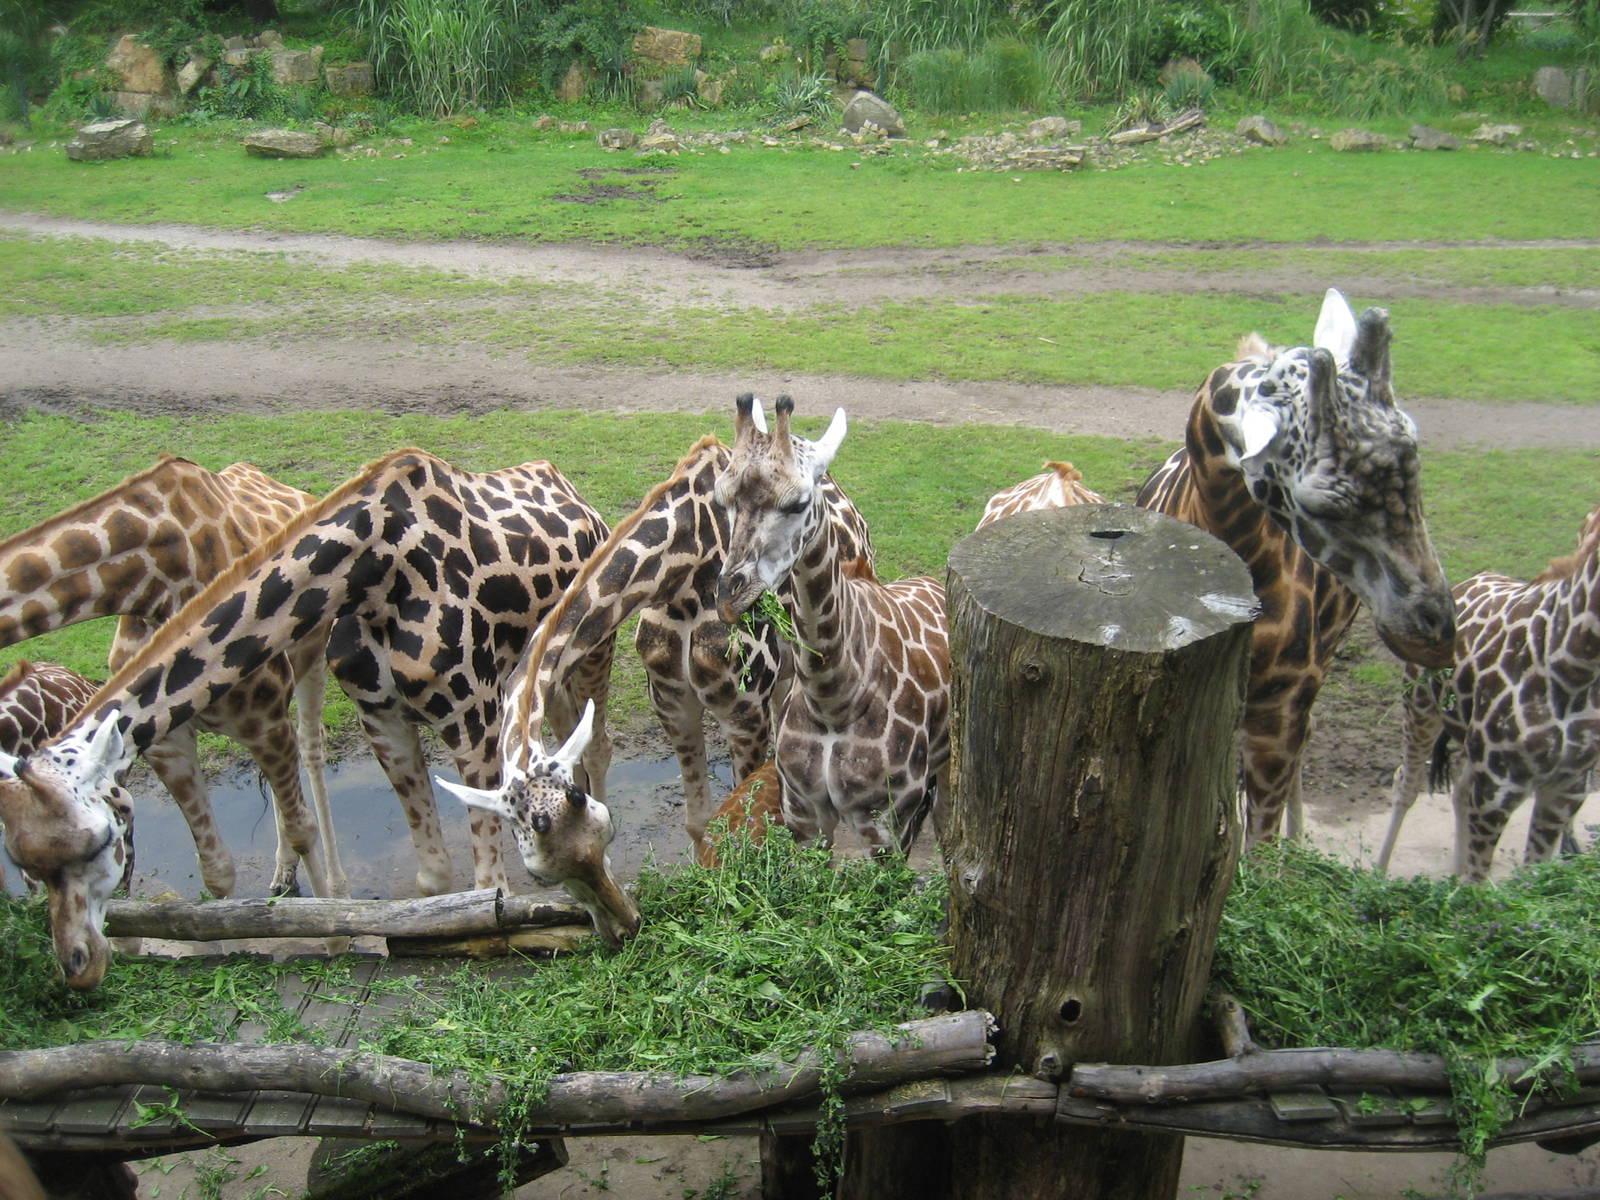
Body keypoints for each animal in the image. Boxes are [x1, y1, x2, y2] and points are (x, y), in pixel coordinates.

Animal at [0, 455, 343, 899]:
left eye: (100, 840)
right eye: (21, 861)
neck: (148, 585)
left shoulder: (265, 723)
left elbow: (304, 829)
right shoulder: (168, 744)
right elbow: (216, 870)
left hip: (311, 657)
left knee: (312, 749)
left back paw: (337, 882)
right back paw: (283, 873)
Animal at [713, 394, 950, 852]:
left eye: (798, 502)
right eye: (722, 498)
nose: (731, 598)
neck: (833, 699)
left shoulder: (887, 828)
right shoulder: (802, 815)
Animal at [1380, 501, 1600, 881]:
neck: (1576, 665)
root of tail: (1470, 580)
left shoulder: (1566, 789)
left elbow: (1533, 874)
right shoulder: (1498, 788)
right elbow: (1477, 882)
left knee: (1458, 790)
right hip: (1420, 707)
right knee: (1406, 782)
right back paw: (1377, 873)